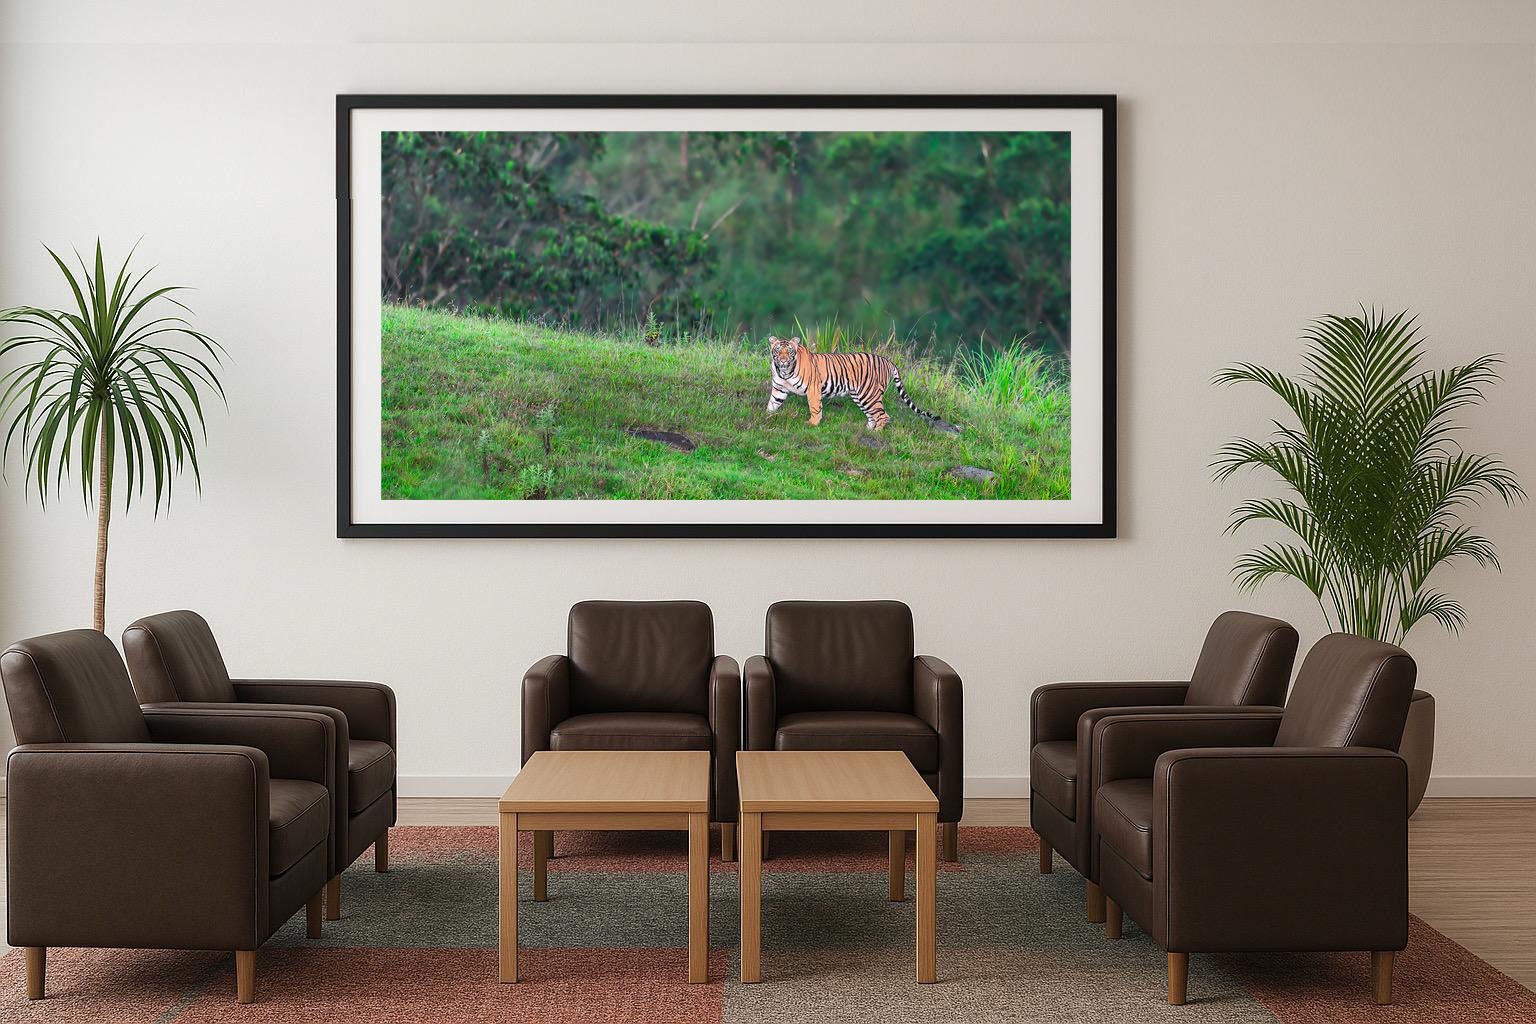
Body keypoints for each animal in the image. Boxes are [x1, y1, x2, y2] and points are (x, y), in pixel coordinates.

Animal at [765, 335, 947, 431]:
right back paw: (867, 430)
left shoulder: (813, 388)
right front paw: (766, 415)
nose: (783, 360)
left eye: (789, 351)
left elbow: (815, 408)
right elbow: (773, 403)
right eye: (778, 351)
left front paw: (812, 424)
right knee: (873, 416)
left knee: (884, 416)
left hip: (869, 395)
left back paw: (876, 433)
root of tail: (889, 362)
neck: (785, 372)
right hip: (860, 397)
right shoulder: (779, 388)